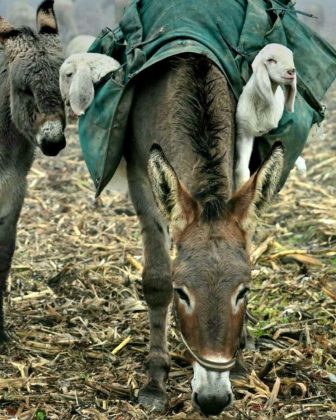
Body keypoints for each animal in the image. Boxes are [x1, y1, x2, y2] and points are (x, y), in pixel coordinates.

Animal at [234, 43, 296, 188]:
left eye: (291, 58)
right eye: (271, 60)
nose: (292, 71)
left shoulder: (271, 132)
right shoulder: (244, 131)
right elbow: (241, 167)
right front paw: (242, 185)